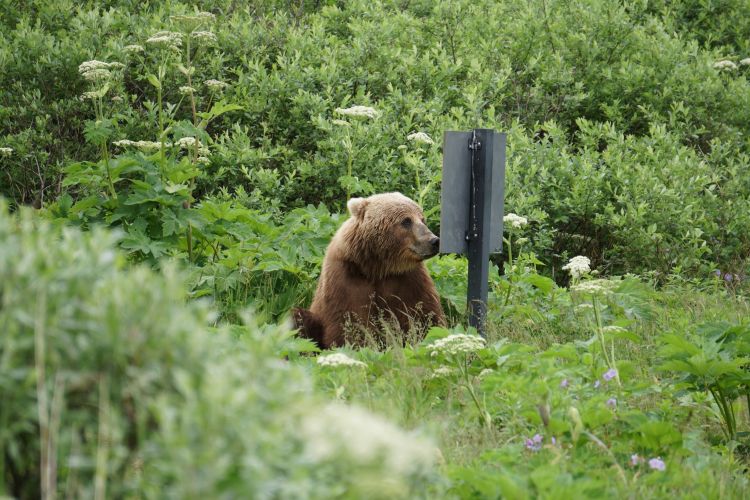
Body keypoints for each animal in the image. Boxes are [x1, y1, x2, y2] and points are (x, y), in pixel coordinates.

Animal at [294, 191, 446, 348]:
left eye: (423, 219)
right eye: (406, 221)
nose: (434, 241)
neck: (377, 267)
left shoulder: (409, 279)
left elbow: (424, 315)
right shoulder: (345, 279)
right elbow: (348, 322)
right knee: (298, 317)